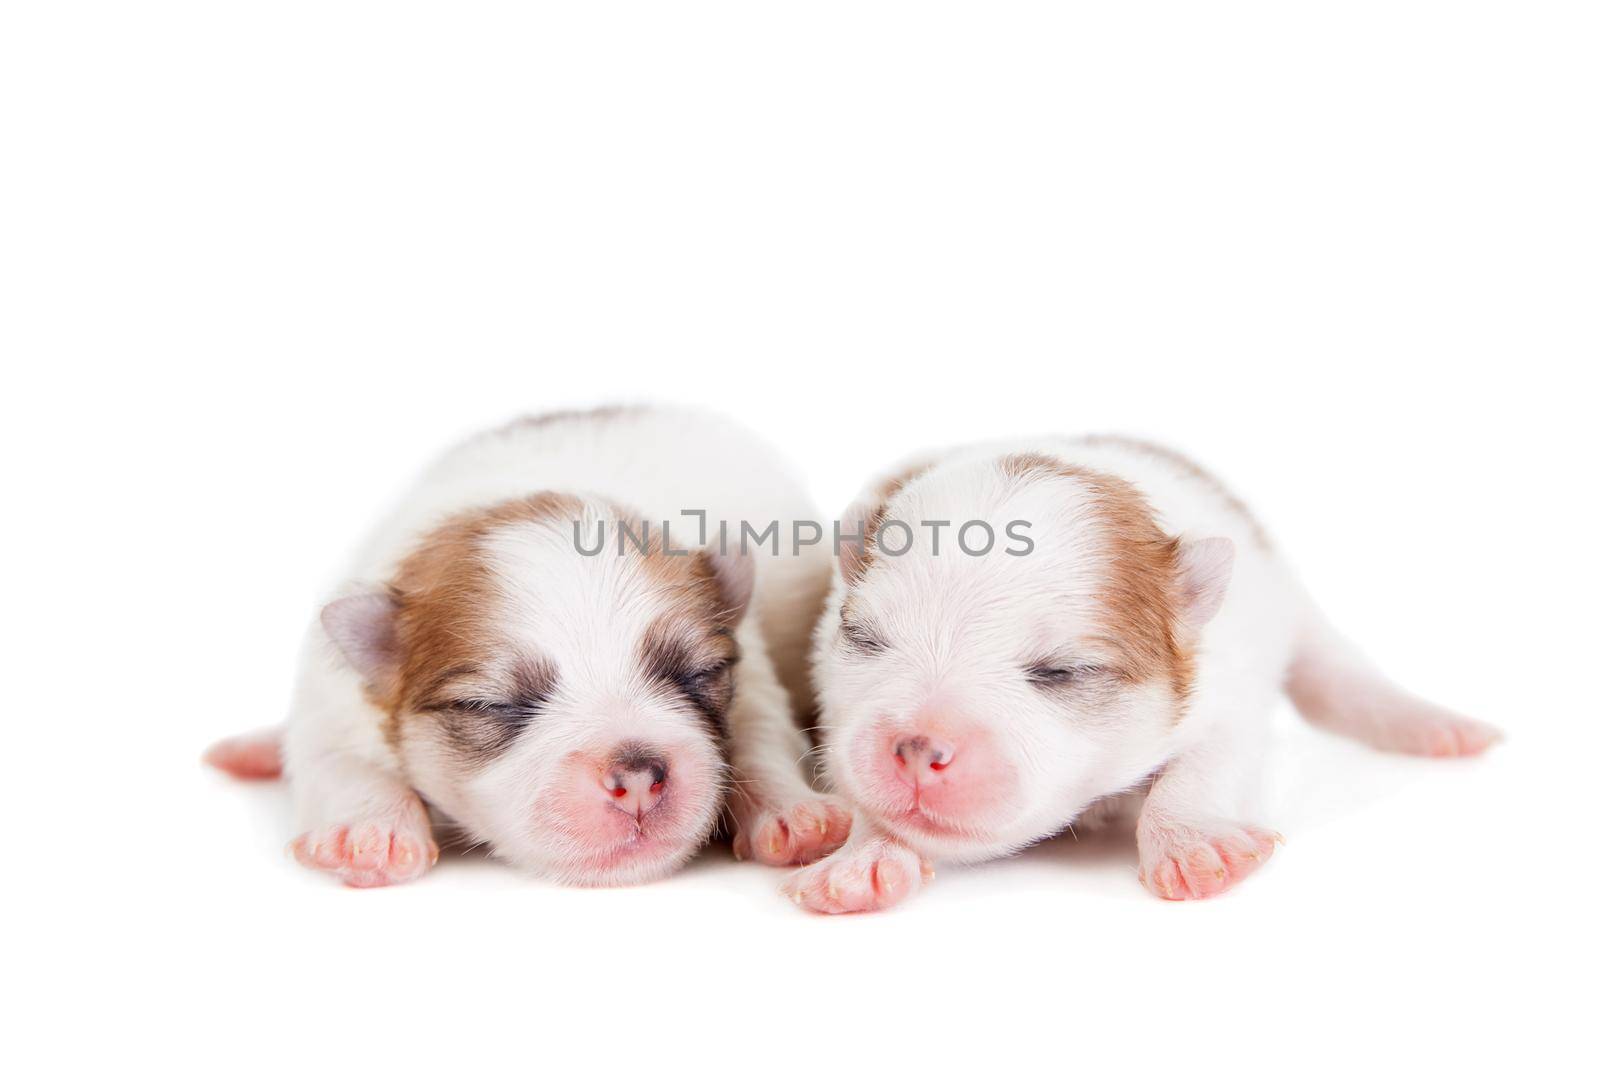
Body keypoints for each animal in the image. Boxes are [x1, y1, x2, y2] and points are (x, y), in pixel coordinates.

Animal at [209, 412, 851, 889]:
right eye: (492, 706)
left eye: (698, 674)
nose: (638, 776)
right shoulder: (333, 693)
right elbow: (337, 761)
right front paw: (370, 834)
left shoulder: (757, 675)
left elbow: (763, 737)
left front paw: (794, 811)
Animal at [793, 438, 1504, 915]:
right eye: (865, 638)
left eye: (1061, 671)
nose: (916, 748)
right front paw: (861, 859)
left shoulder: (1228, 694)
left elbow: (1205, 764)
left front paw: (1195, 846)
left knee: (1338, 675)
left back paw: (1439, 727)